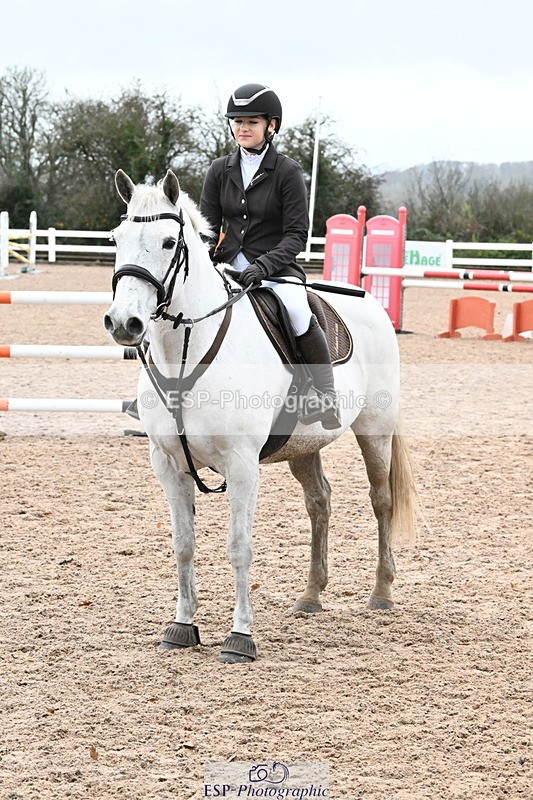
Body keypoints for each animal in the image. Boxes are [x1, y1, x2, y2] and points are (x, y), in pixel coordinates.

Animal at [104, 168, 419, 663]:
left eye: (169, 242)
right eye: (115, 239)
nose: (123, 323)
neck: (185, 354)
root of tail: (371, 302)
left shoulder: (242, 465)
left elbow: (239, 547)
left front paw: (240, 637)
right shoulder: (168, 464)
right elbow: (183, 545)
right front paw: (182, 625)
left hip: (374, 430)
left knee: (381, 499)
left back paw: (382, 592)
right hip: (303, 446)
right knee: (320, 502)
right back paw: (311, 595)